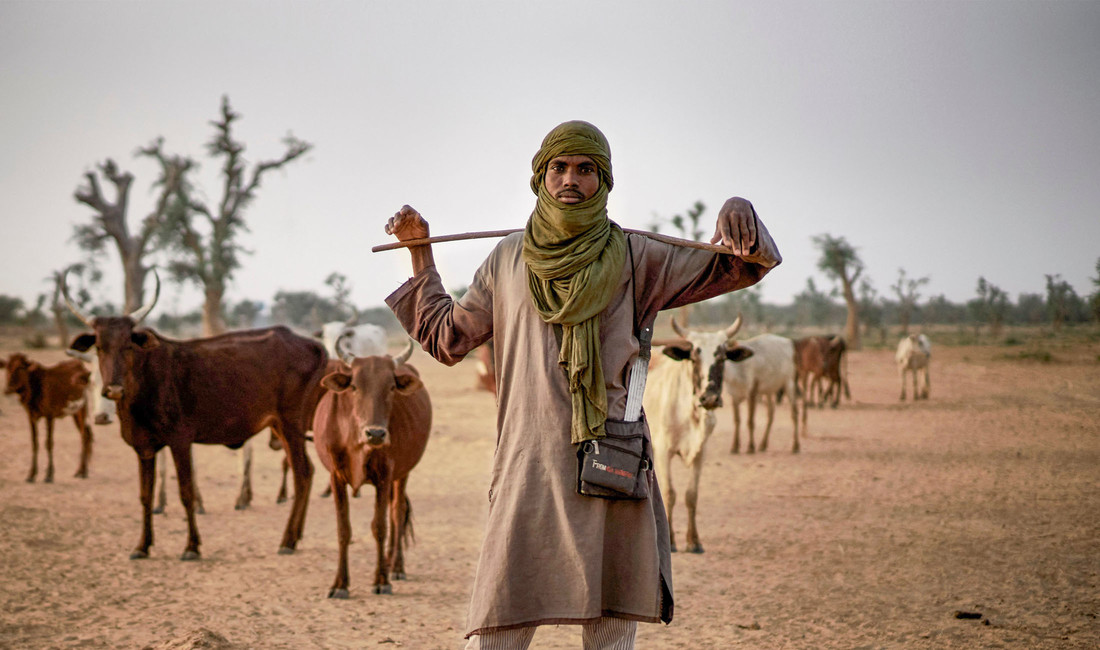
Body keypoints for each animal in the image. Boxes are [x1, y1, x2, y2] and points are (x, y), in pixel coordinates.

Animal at [1, 351, 94, 483]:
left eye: (20, 367)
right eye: (7, 367)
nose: (7, 389)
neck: (35, 388)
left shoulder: (49, 415)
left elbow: (48, 443)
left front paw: (49, 475)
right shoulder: (31, 416)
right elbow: (34, 442)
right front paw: (31, 475)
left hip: (82, 408)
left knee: (85, 435)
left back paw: (83, 472)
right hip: (75, 412)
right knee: (85, 434)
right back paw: (80, 471)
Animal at [64, 271, 325, 563]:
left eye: (128, 345)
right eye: (99, 347)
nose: (114, 390)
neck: (144, 379)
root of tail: (309, 343)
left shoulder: (179, 441)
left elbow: (186, 492)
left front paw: (191, 546)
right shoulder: (144, 448)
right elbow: (145, 496)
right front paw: (142, 545)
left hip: (291, 425)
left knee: (302, 474)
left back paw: (288, 540)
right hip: (281, 427)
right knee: (307, 472)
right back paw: (296, 535)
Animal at [312, 340, 431, 598]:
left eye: (391, 387)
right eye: (354, 386)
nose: (375, 433)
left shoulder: (385, 475)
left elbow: (379, 527)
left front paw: (381, 580)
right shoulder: (335, 477)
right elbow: (343, 530)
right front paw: (340, 584)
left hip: (402, 474)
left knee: (397, 512)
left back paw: (395, 566)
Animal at [642, 314, 756, 554]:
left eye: (722, 357)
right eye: (694, 357)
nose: (710, 397)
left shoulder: (701, 452)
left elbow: (691, 495)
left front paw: (694, 541)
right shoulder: (663, 450)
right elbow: (670, 493)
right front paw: (671, 541)